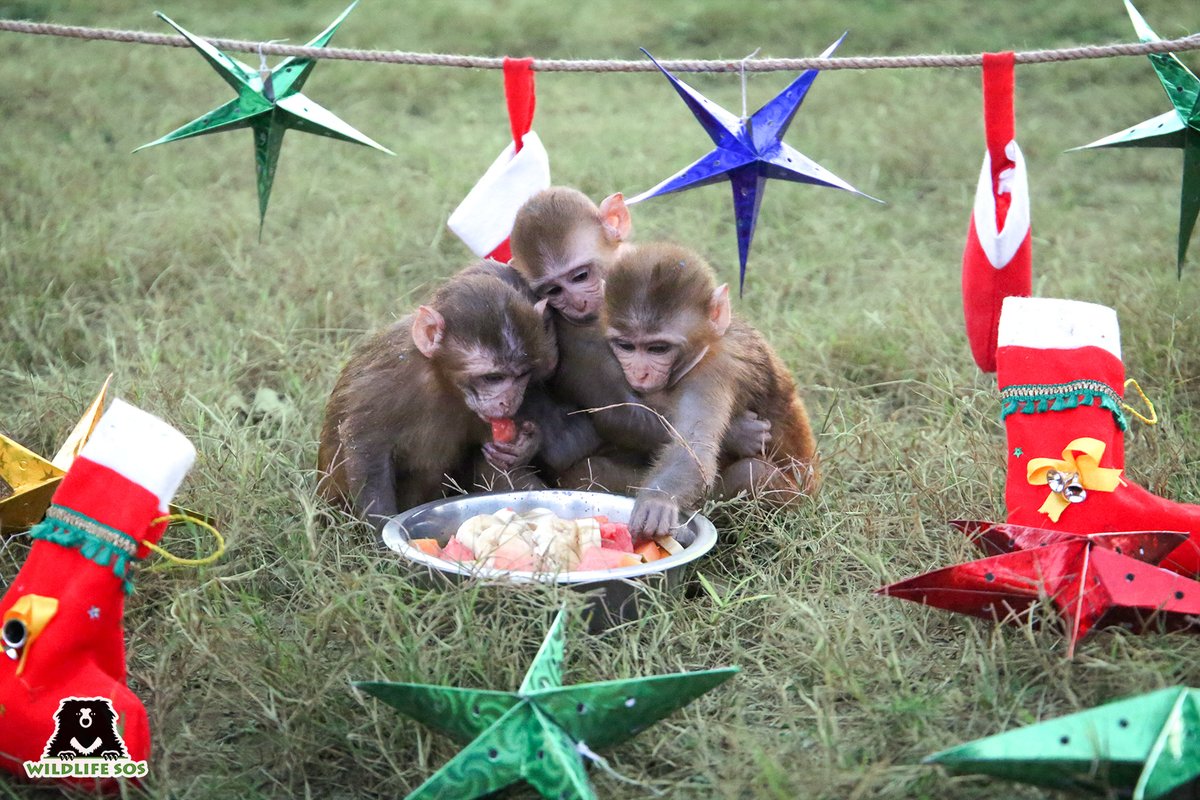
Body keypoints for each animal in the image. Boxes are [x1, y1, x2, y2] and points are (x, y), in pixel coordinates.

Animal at [316, 267, 557, 530]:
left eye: (522, 375)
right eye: (493, 377)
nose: (509, 402)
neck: (442, 381)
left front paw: (524, 445)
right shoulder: (387, 382)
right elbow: (365, 445)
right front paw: (382, 529)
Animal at [508, 186, 771, 491]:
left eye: (580, 276)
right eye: (553, 291)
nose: (577, 303)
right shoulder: (573, 335)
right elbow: (621, 414)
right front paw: (737, 435)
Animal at [601, 242, 820, 541]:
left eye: (658, 348)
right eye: (626, 346)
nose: (640, 373)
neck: (706, 346)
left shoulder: (714, 371)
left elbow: (694, 449)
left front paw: (657, 500)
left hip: (801, 499)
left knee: (751, 472)